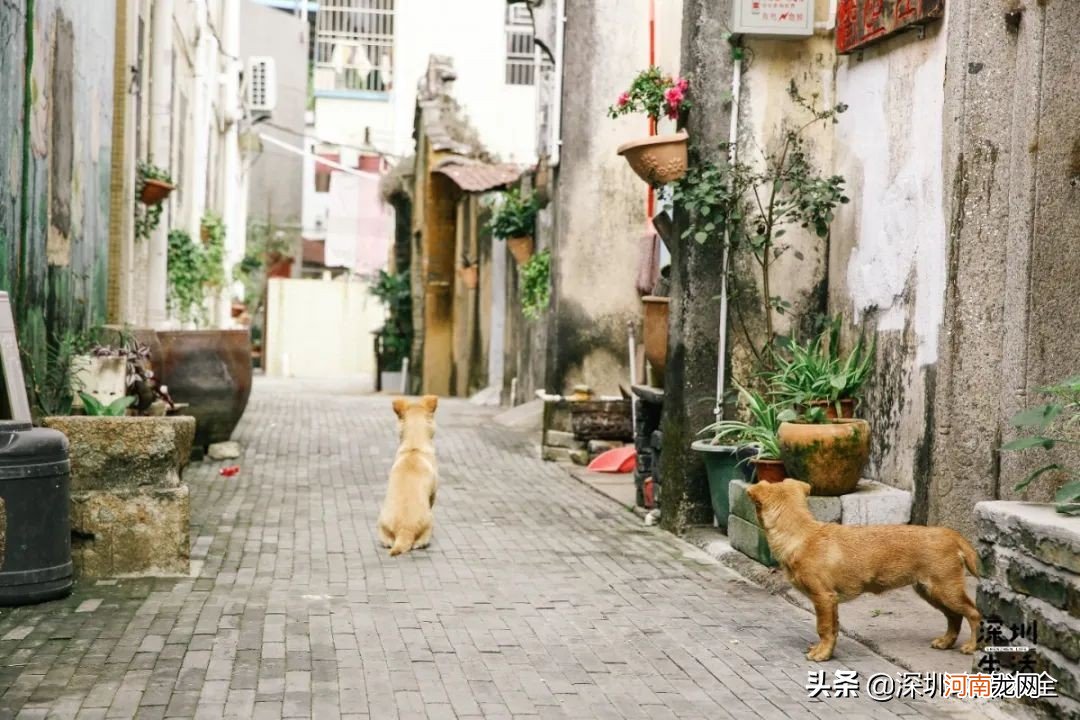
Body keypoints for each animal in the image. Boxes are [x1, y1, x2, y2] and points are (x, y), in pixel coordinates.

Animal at [747, 481, 984, 660]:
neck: (802, 535)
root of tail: (951, 535)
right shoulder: (832, 601)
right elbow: (833, 629)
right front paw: (827, 651)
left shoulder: (823, 597)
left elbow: (823, 628)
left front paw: (821, 654)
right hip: (929, 591)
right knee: (955, 617)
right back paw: (946, 642)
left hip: (945, 589)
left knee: (974, 614)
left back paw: (972, 646)